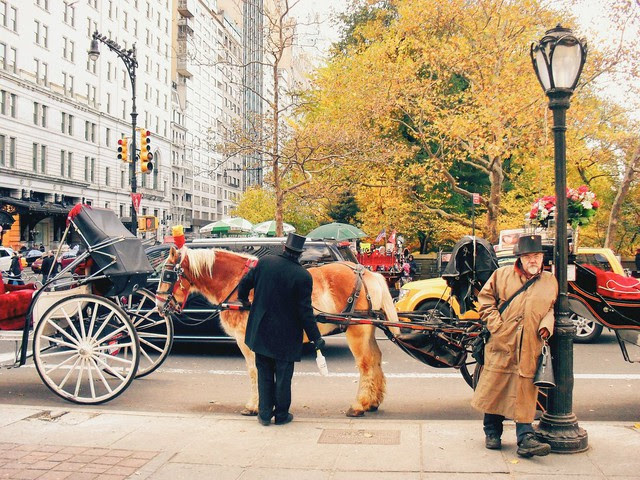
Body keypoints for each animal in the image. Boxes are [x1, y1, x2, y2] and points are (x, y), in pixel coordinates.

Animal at [156, 248, 396, 416]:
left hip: (357, 331)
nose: (159, 306)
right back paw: (373, 401)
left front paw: (255, 406)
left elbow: (254, 370)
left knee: (365, 364)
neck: (237, 282)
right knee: (376, 359)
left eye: (168, 275)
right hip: (367, 331)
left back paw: (359, 405)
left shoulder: (247, 340)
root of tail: (367, 273)